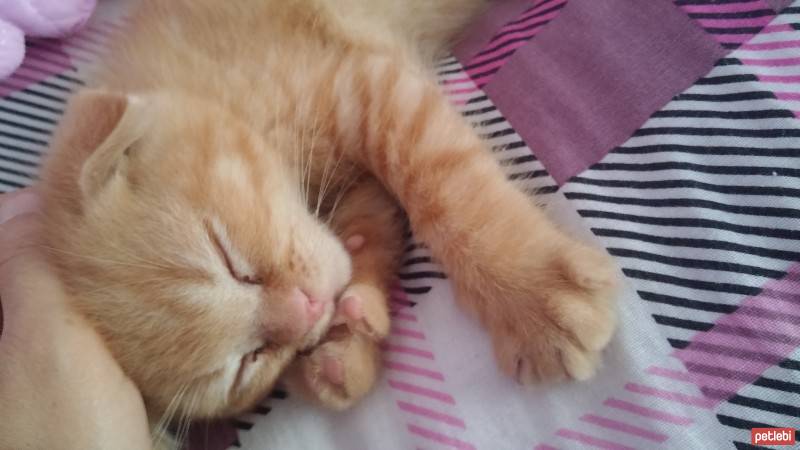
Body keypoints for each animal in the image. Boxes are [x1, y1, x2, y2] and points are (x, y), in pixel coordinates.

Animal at [39, 0, 620, 446]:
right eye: (248, 362)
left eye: (229, 260)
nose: (308, 308)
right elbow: (369, 228)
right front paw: (346, 339)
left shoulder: (364, 84)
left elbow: (441, 181)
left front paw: (532, 298)